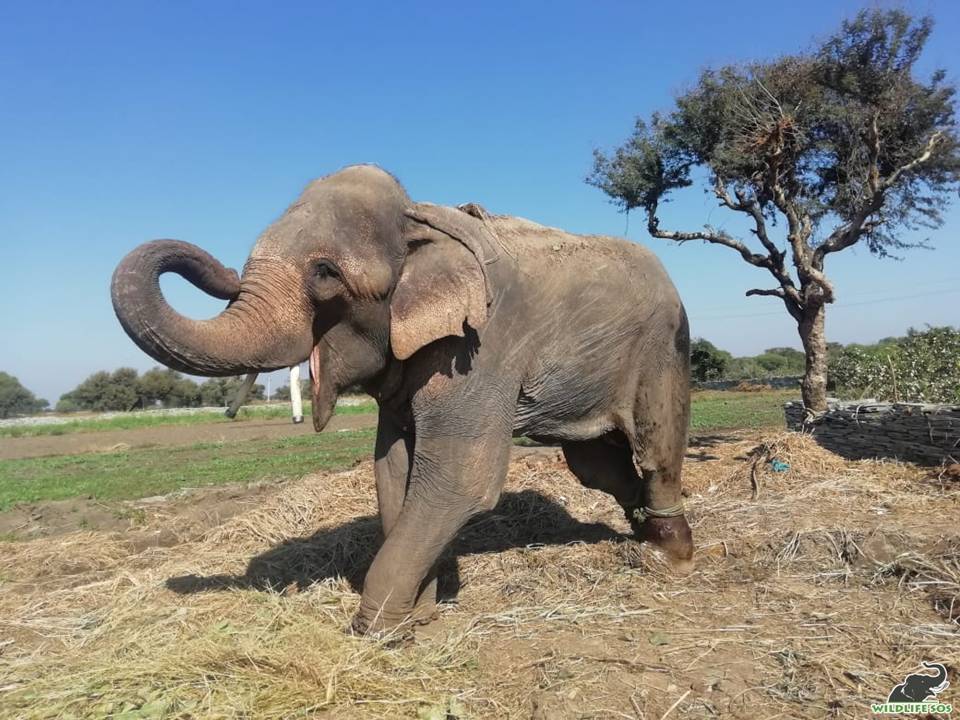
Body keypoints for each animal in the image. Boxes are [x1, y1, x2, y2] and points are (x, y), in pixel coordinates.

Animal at [112, 166, 692, 632]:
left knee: (654, 449)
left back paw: (673, 556)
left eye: (325, 274)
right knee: (596, 465)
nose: (221, 268)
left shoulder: (482, 345)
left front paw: (377, 631)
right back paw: (644, 534)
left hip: (664, 347)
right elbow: (393, 470)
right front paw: (420, 614)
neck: (419, 220)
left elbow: (460, 480)